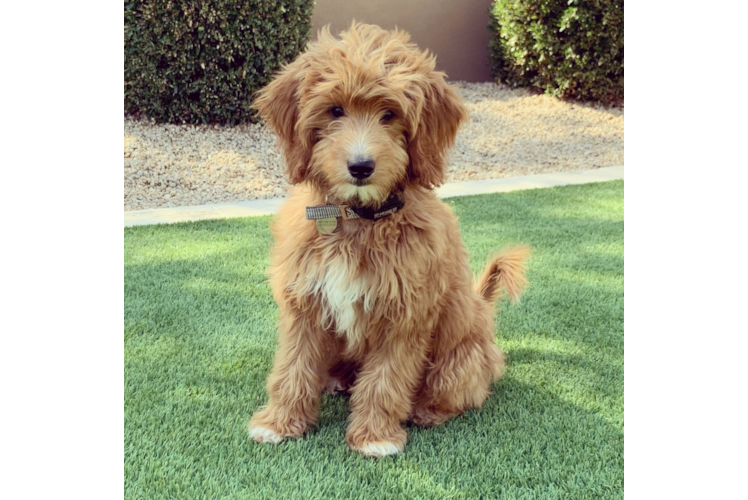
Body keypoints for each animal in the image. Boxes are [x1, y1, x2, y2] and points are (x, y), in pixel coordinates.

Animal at [248, 23, 528, 458]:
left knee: (459, 392)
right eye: (335, 110)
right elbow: (292, 367)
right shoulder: (305, 302)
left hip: (459, 361)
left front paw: (374, 436)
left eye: (389, 114)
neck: (358, 219)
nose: (361, 166)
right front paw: (278, 423)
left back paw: (426, 411)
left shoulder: (405, 315)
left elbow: (385, 380)